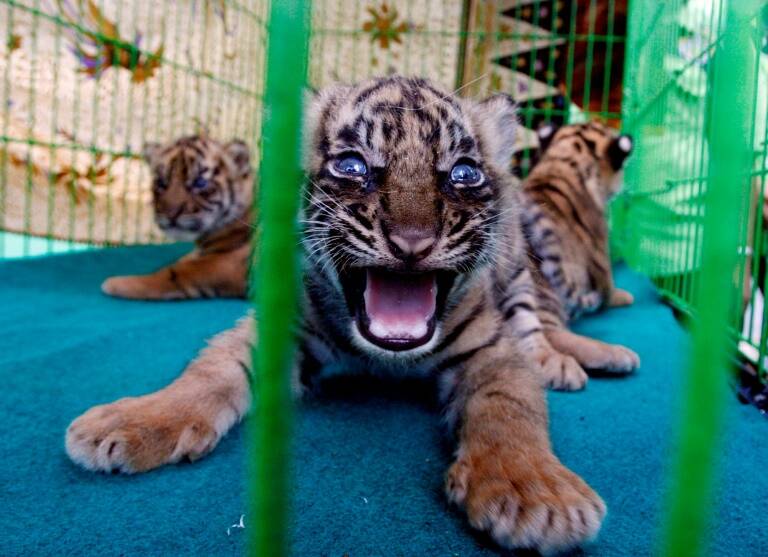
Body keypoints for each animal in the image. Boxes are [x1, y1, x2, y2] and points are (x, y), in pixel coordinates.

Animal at [100, 136, 252, 300]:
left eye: (200, 182)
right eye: (161, 182)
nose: (171, 213)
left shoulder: (224, 264)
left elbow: (173, 273)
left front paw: (115, 283)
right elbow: (183, 259)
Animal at [522, 122, 640, 388]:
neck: (564, 159)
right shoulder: (601, 256)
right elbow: (609, 289)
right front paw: (624, 296)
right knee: (549, 334)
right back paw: (612, 357)